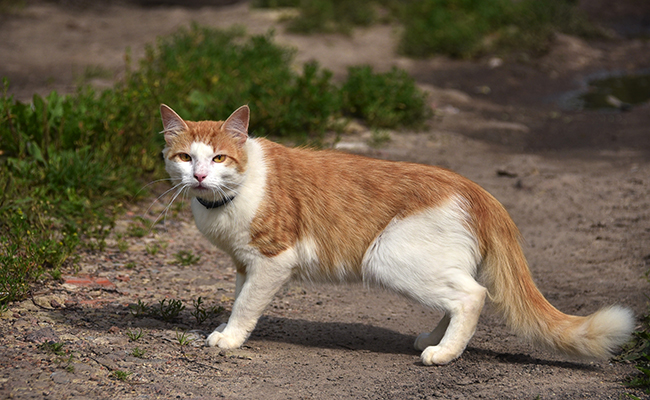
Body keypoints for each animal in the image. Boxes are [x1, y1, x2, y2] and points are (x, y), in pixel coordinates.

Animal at [159, 104, 632, 366]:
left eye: (219, 158)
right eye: (185, 157)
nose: (199, 176)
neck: (227, 199)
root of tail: (477, 189)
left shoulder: (272, 260)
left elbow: (246, 307)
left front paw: (230, 338)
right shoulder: (245, 263)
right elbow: (238, 298)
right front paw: (227, 328)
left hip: (386, 257)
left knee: (473, 296)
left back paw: (444, 353)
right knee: (463, 294)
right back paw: (435, 338)